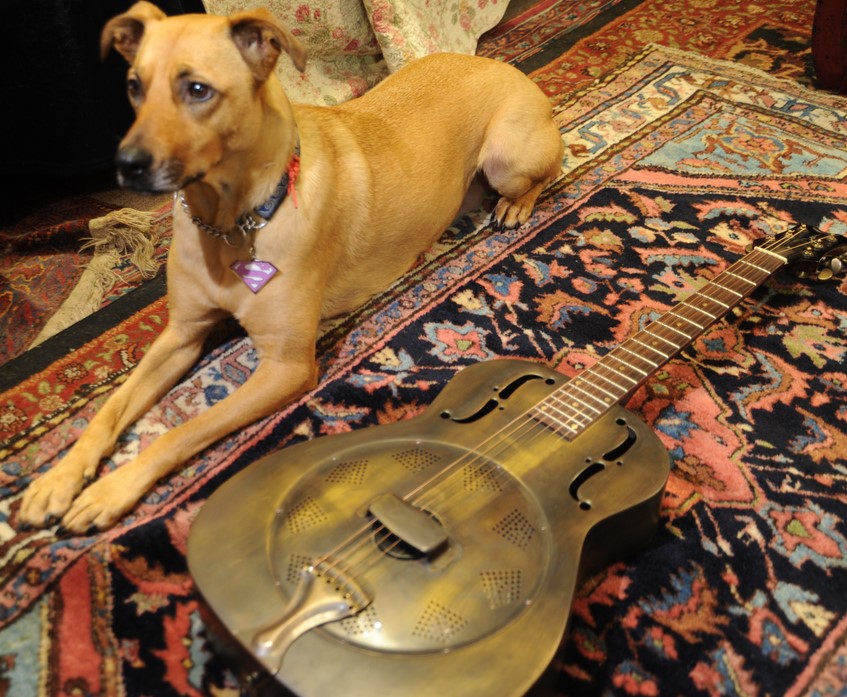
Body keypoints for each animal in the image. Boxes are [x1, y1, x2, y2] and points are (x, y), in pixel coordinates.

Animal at [18, 1, 564, 532]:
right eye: (134, 86)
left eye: (198, 89)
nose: (125, 165)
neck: (230, 223)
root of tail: (496, 64)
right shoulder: (182, 334)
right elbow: (109, 409)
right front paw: (58, 481)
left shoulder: (286, 365)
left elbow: (184, 430)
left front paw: (109, 492)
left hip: (508, 159)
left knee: (544, 174)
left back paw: (515, 208)